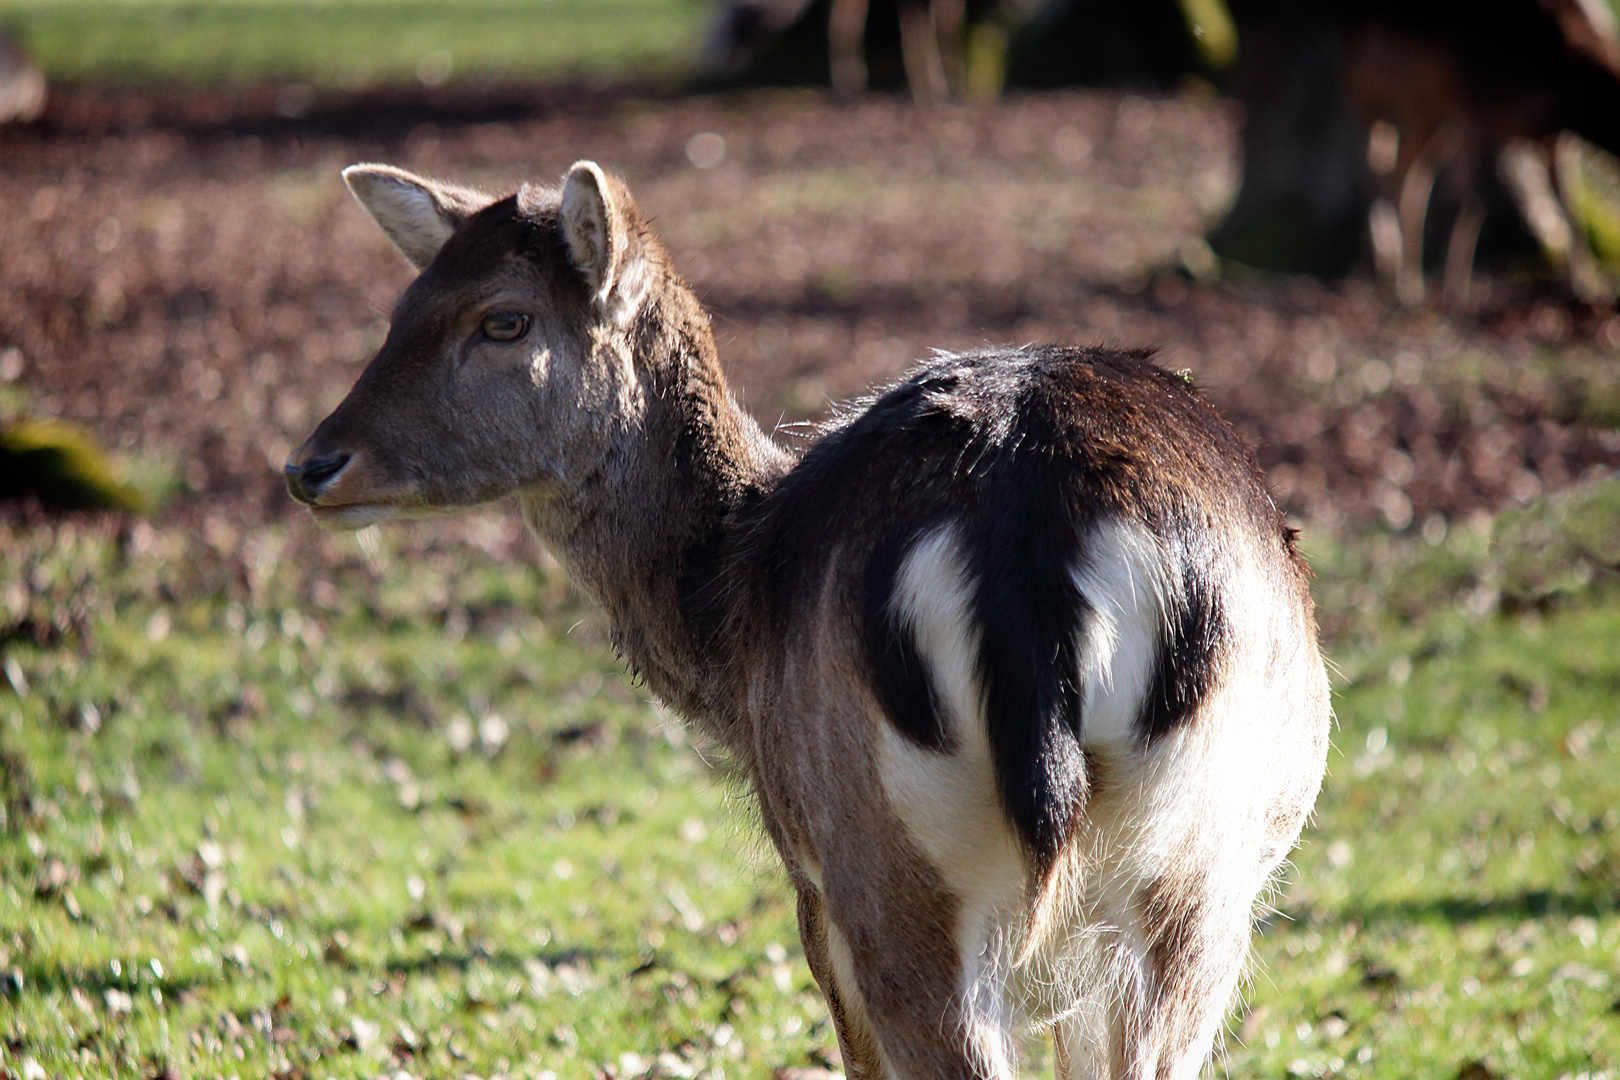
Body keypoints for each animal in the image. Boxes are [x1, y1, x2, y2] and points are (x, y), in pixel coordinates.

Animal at [288, 160, 1328, 1080]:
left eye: (503, 319)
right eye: (401, 309)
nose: (311, 465)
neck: (728, 614)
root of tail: (1028, 526)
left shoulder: (806, 878)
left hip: (888, 857)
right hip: (1193, 871)